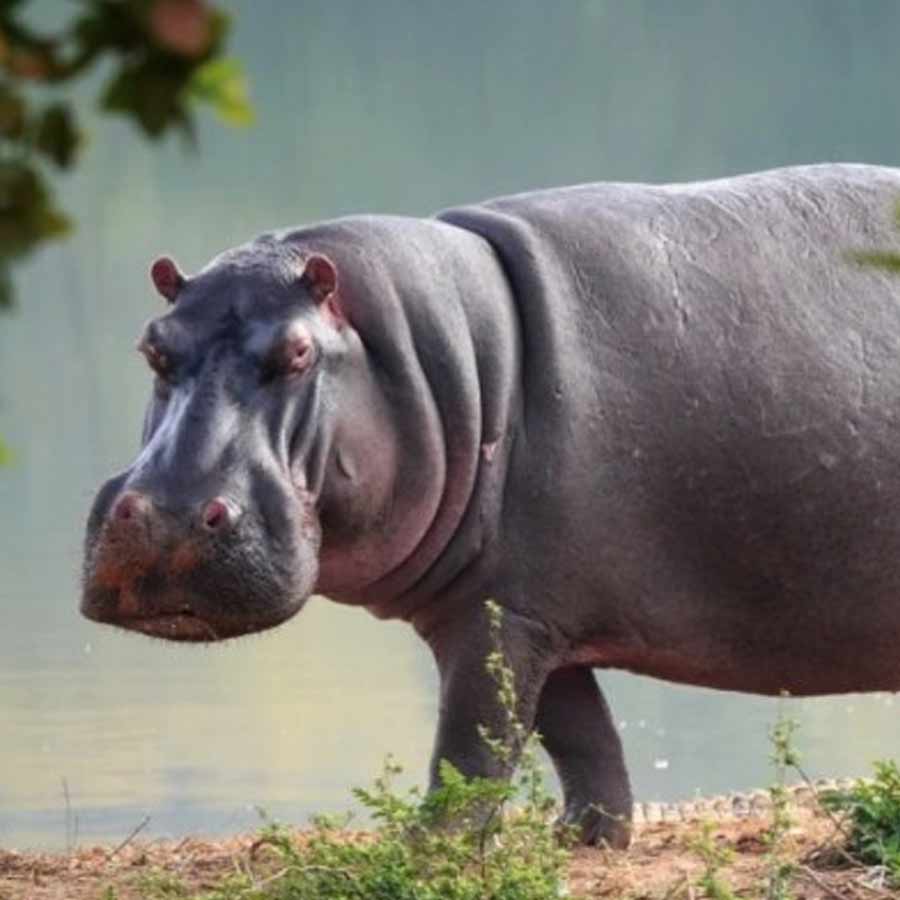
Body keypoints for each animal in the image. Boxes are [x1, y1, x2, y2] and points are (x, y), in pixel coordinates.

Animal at [82, 163, 900, 847]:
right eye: (152, 346)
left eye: (299, 353)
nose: (167, 520)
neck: (440, 360)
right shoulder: (526, 609)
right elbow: (579, 739)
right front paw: (582, 842)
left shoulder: (495, 621)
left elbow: (471, 749)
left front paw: (425, 853)